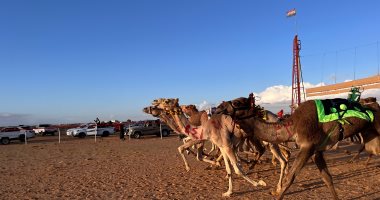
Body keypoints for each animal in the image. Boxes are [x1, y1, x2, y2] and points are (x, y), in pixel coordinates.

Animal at [215, 94, 378, 199]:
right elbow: (327, 179)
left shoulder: (307, 147)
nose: (217, 108)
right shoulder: (316, 151)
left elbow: (290, 178)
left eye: (237, 103)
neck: (292, 126)